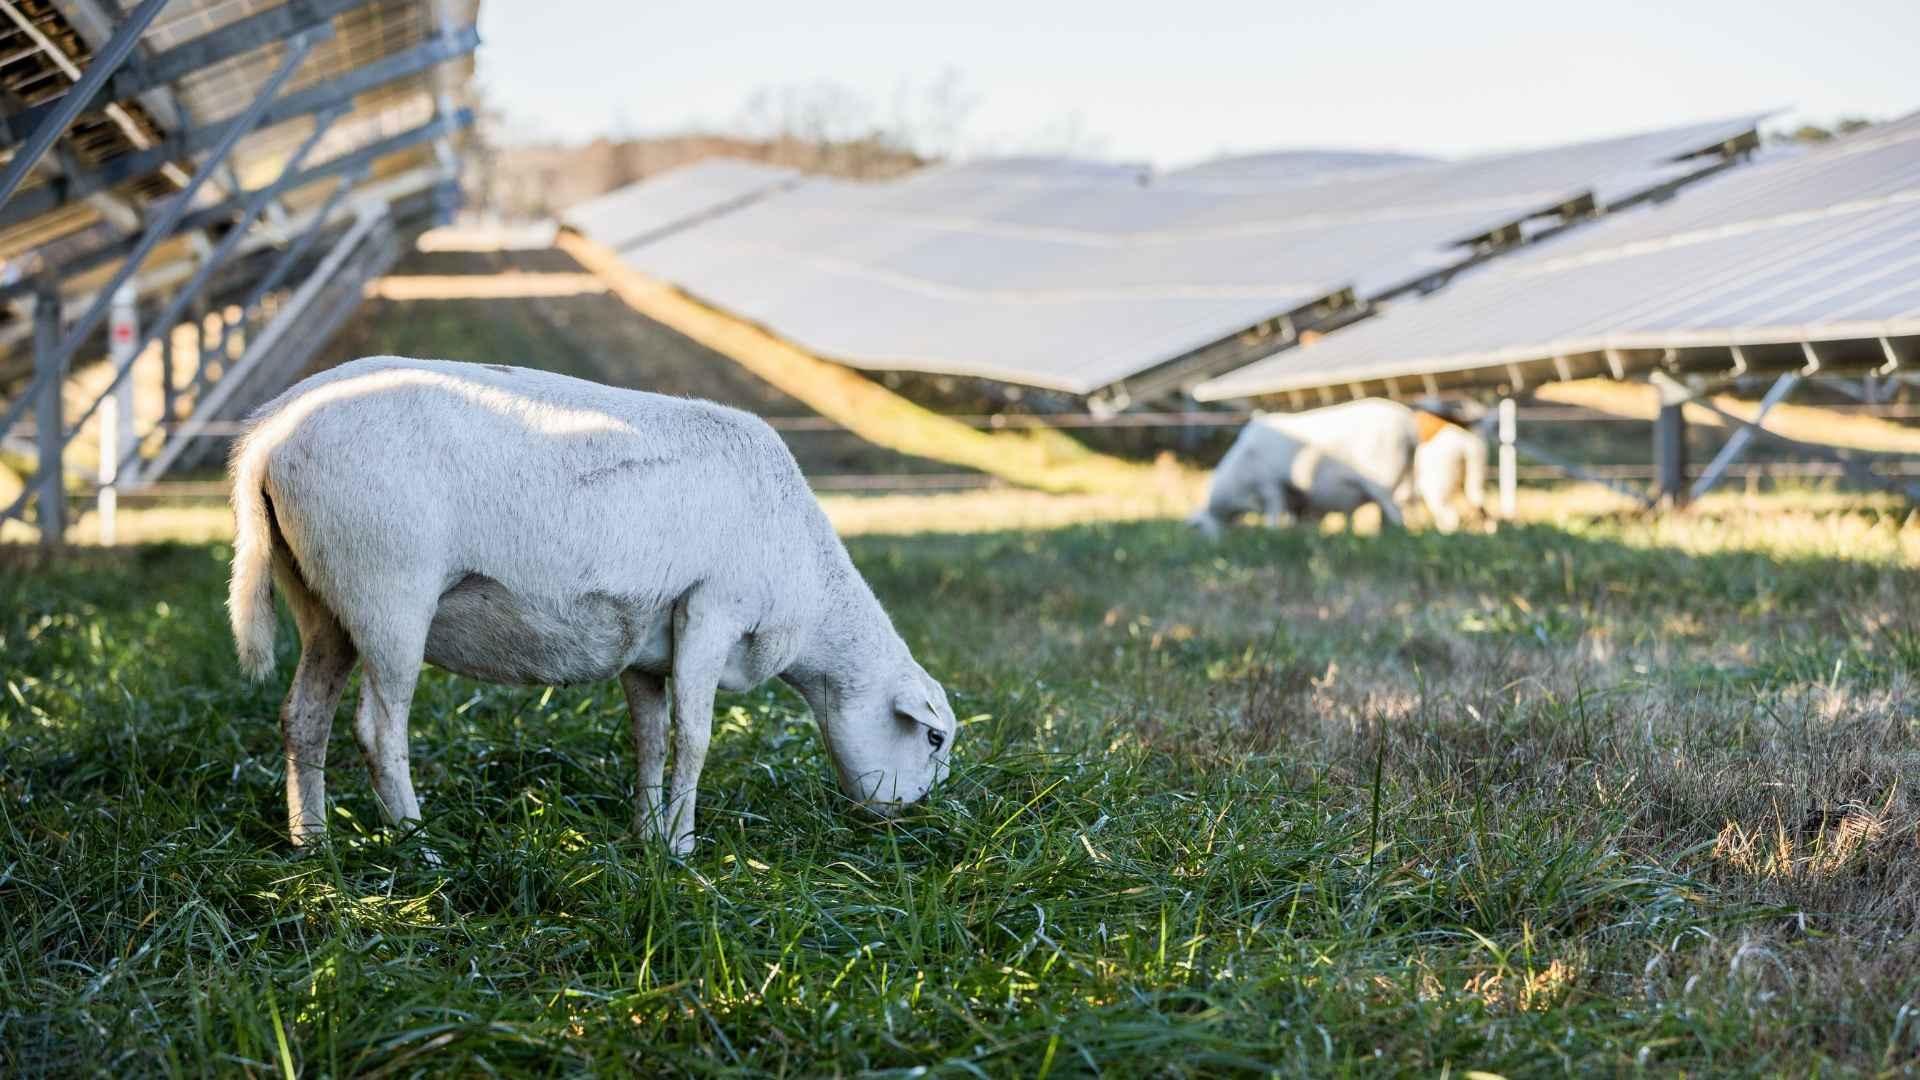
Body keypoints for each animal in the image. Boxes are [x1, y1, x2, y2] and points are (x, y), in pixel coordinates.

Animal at [232, 357, 960, 853]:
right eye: (933, 737)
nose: (908, 822)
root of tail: (271, 431)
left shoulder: (647, 643)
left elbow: (650, 738)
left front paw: (647, 835)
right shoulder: (712, 611)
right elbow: (696, 738)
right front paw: (683, 848)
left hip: (324, 601)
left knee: (304, 718)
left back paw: (312, 842)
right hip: (389, 591)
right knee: (378, 729)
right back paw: (418, 845)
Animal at [1190, 395, 1420, 534]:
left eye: (1200, 530)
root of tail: (1408, 424)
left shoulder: (1271, 486)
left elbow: (1273, 516)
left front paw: (1272, 535)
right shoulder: (1295, 499)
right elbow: (1296, 520)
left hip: (1380, 480)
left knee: (1394, 513)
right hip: (1405, 477)